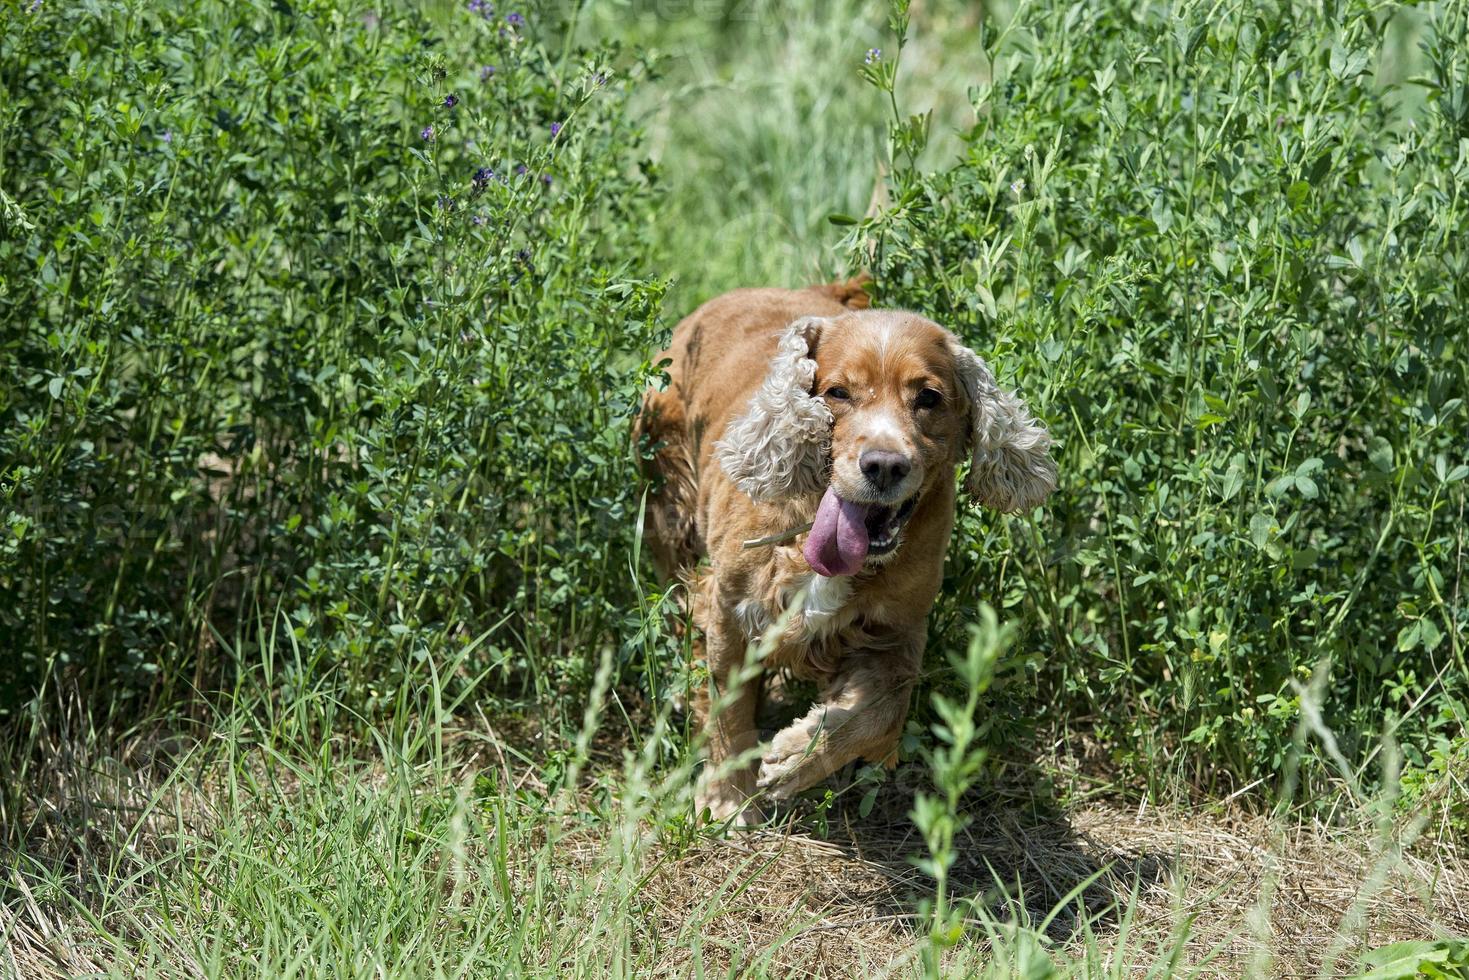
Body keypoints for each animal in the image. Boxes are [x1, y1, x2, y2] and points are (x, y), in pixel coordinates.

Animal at [634, 279, 1057, 822]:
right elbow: (728, 708)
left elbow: (882, 713)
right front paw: (727, 802)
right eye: (837, 392)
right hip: (669, 502)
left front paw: (796, 759)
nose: (884, 465)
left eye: (928, 397)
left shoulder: (898, 631)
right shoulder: (729, 608)